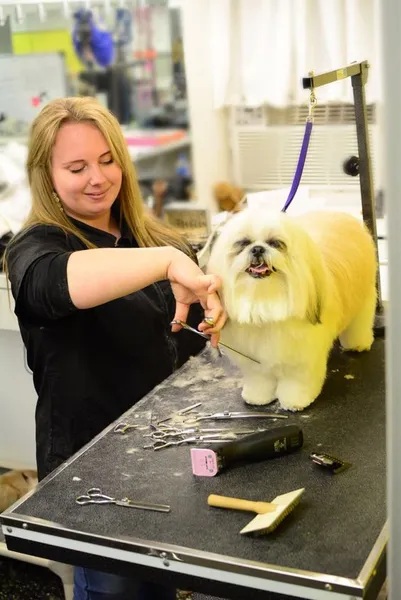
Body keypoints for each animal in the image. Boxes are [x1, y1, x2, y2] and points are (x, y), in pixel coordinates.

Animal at [208, 209, 376, 410]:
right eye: (244, 243)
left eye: (275, 243)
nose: (257, 249)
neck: (266, 302)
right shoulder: (254, 360)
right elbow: (259, 379)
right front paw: (257, 397)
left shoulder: (302, 357)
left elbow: (296, 382)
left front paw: (294, 401)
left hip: (363, 298)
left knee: (359, 324)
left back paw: (357, 344)